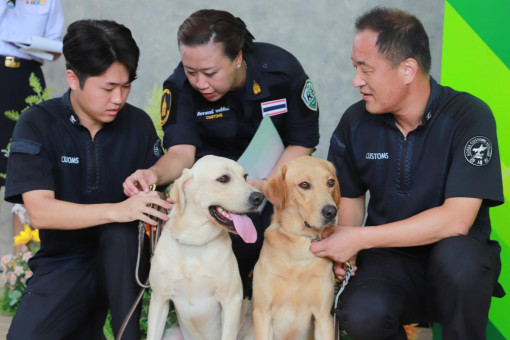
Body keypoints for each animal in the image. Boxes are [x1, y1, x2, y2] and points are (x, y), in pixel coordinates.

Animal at [146, 156, 262, 340]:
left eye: (245, 176)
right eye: (223, 178)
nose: (260, 197)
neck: (194, 241)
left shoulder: (231, 301)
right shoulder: (159, 299)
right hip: (171, 332)